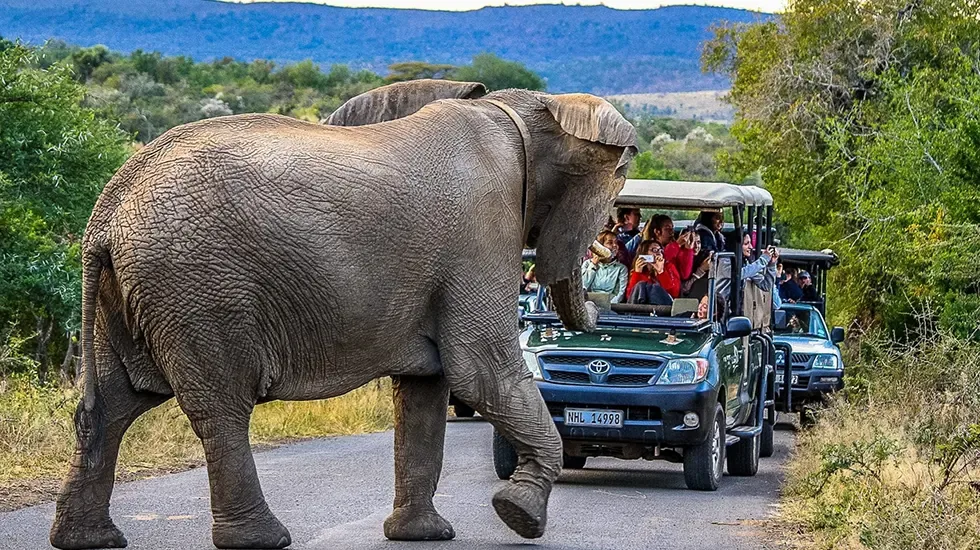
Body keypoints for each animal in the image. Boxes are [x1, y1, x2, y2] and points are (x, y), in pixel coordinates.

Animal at [50, 79, 637, 550]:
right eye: (617, 182)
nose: (610, 306)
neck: (524, 110)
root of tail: (108, 209)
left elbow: (427, 389)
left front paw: (423, 536)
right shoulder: (483, 232)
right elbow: (481, 369)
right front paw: (519, 517)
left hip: (133, 292)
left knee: (114, 405)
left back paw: (89, 540)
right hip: (198, 287)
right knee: (220, 407)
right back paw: (261, 539)